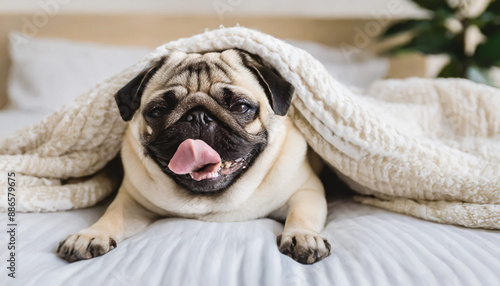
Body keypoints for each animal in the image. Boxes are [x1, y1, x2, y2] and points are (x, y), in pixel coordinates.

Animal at [55, 48, 332, 264]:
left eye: (241, 107)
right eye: (157, 111)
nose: (198, 116)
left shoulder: (306, 191)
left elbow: (302, 213)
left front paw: (302, 236)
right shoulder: (131, 201)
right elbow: (113, 214)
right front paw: (91, 234)